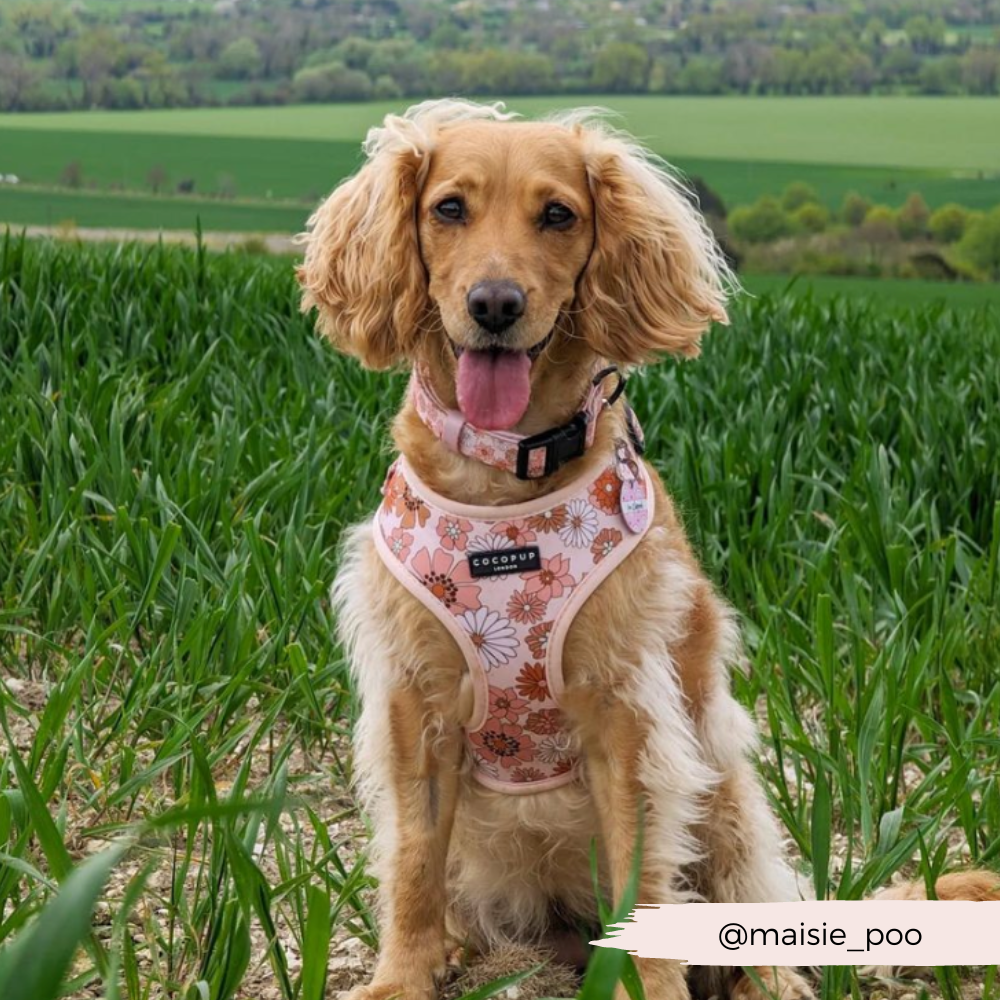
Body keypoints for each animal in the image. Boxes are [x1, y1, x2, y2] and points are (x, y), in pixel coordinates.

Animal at [298, 101, 1000, 1000]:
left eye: (558, 215)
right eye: (448, 207)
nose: (495, 303)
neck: (504, 488)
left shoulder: (626, 712)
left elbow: (645, 880)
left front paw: (654, 987)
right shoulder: (415, 707)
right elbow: (414, 862)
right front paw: (403, 976)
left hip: (724, 786)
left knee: (749, 907)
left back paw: (768, 981)